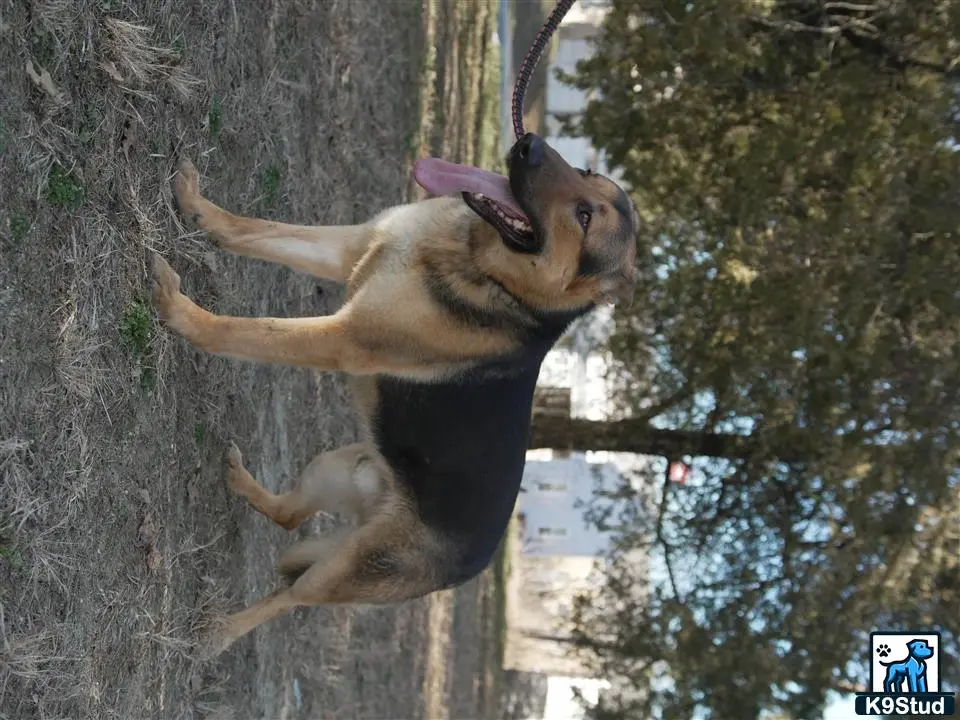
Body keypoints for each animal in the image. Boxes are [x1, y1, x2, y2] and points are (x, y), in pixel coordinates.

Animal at [152, 132, 636, 656]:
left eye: (585, 217)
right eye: (587, 175)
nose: (529, 142)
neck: (482, 261)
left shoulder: (342, 340)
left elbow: (248, 330)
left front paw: (181, 313)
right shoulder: (349, 246)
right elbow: (250, 229)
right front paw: (196, 206)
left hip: (344, 569)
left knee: (293, 594)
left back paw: (217, 632)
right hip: (335, 466)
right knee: (289, 516)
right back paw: (239, 480)